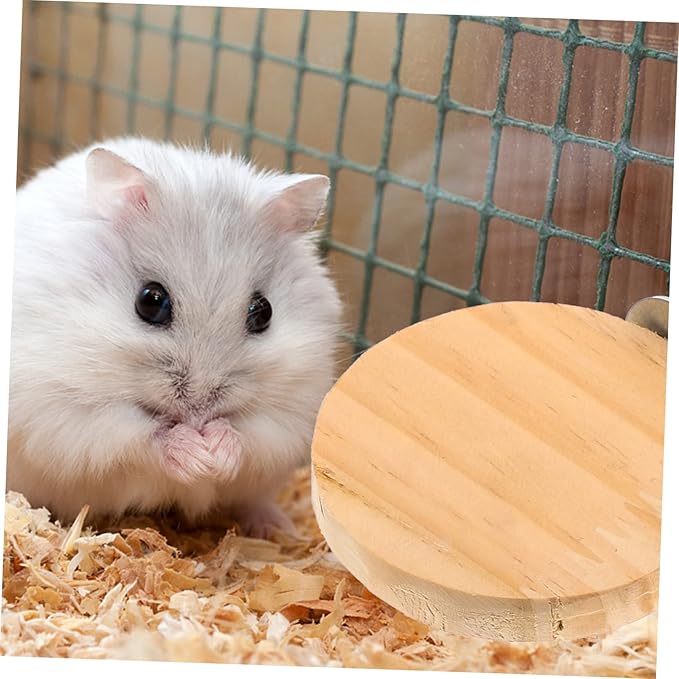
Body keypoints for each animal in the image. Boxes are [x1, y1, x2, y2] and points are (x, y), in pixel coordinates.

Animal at [7, 136, 342, 537]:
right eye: (150, 302)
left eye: (264, 312)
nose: (199, 412)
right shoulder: (63, 413)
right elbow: (137, 436)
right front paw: (196, 457)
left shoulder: (293, 411)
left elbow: (251, 434)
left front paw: (217, 455)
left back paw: (278, 529)